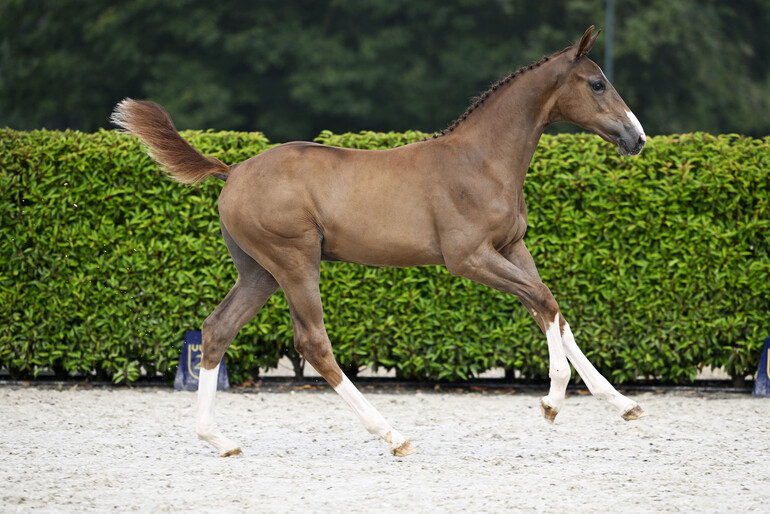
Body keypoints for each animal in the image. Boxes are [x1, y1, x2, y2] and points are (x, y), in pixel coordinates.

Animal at [112, 26, 647, 458]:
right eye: (597, 83)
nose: (637, 138)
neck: (482, 160)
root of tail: (233, 169)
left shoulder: (513, 248)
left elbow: (552, 310)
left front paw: (622, 404)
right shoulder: (469, 258)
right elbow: (544, 301)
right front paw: (552, 400)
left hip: (259, 272)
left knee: (217, 329)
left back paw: (219, 440)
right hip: (294, 262)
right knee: (313, 342)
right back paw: (392, 435)